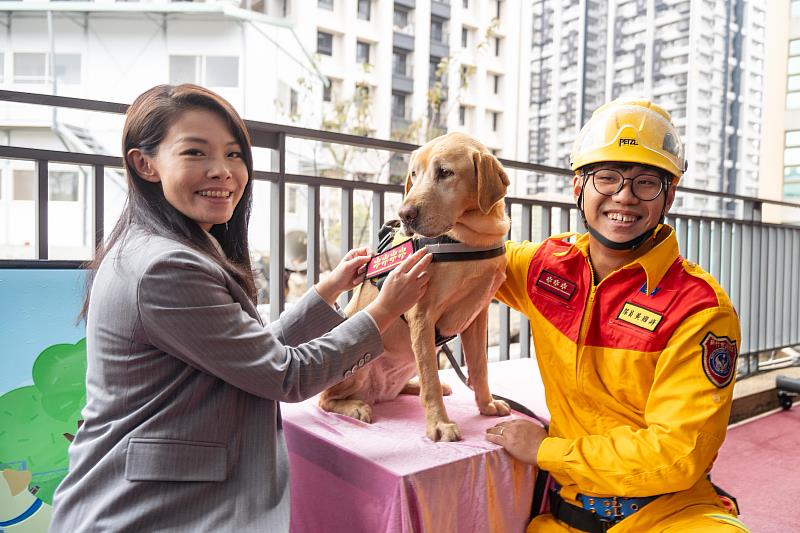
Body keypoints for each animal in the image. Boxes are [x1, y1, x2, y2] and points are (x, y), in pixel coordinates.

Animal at [320, 133, 512, 440]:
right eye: (414, 174)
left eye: (445, 172)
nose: (405, 214)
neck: (470, 239)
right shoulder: (422, 315)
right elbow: (430, 379)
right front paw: (439, 424)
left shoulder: (477, 316)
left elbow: (479, 367)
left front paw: (487, 404)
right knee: (325, 399)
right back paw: (355, 407)